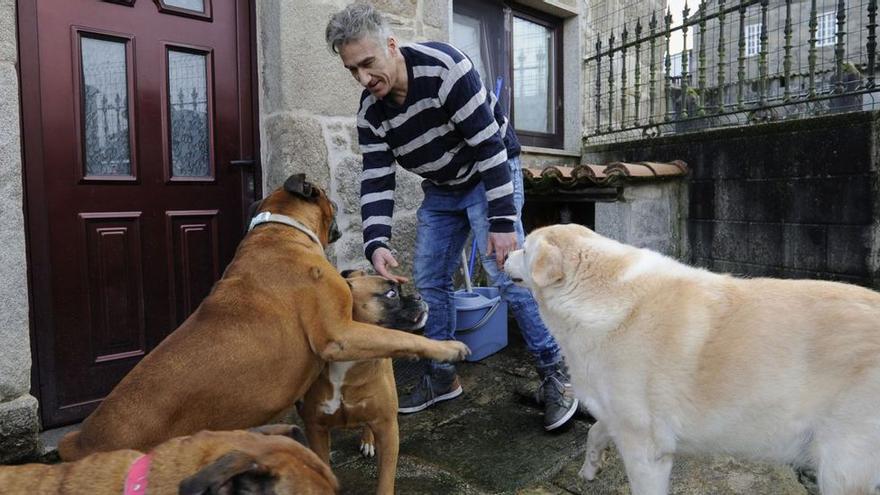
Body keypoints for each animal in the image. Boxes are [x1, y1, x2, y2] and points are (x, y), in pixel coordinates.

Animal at [300, 272, 430, 495]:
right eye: (391, 293)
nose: (419, 296)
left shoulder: (388, 429)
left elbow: (385, 481)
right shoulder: (315, 428)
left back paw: (368, 440)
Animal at [502, 225, 880, 495]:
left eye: (525, 247)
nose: (503, 254)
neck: (600, 293)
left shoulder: (646, 451)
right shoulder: (621, 418)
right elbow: (595, 431)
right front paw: (590, 468)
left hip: (841, 469)